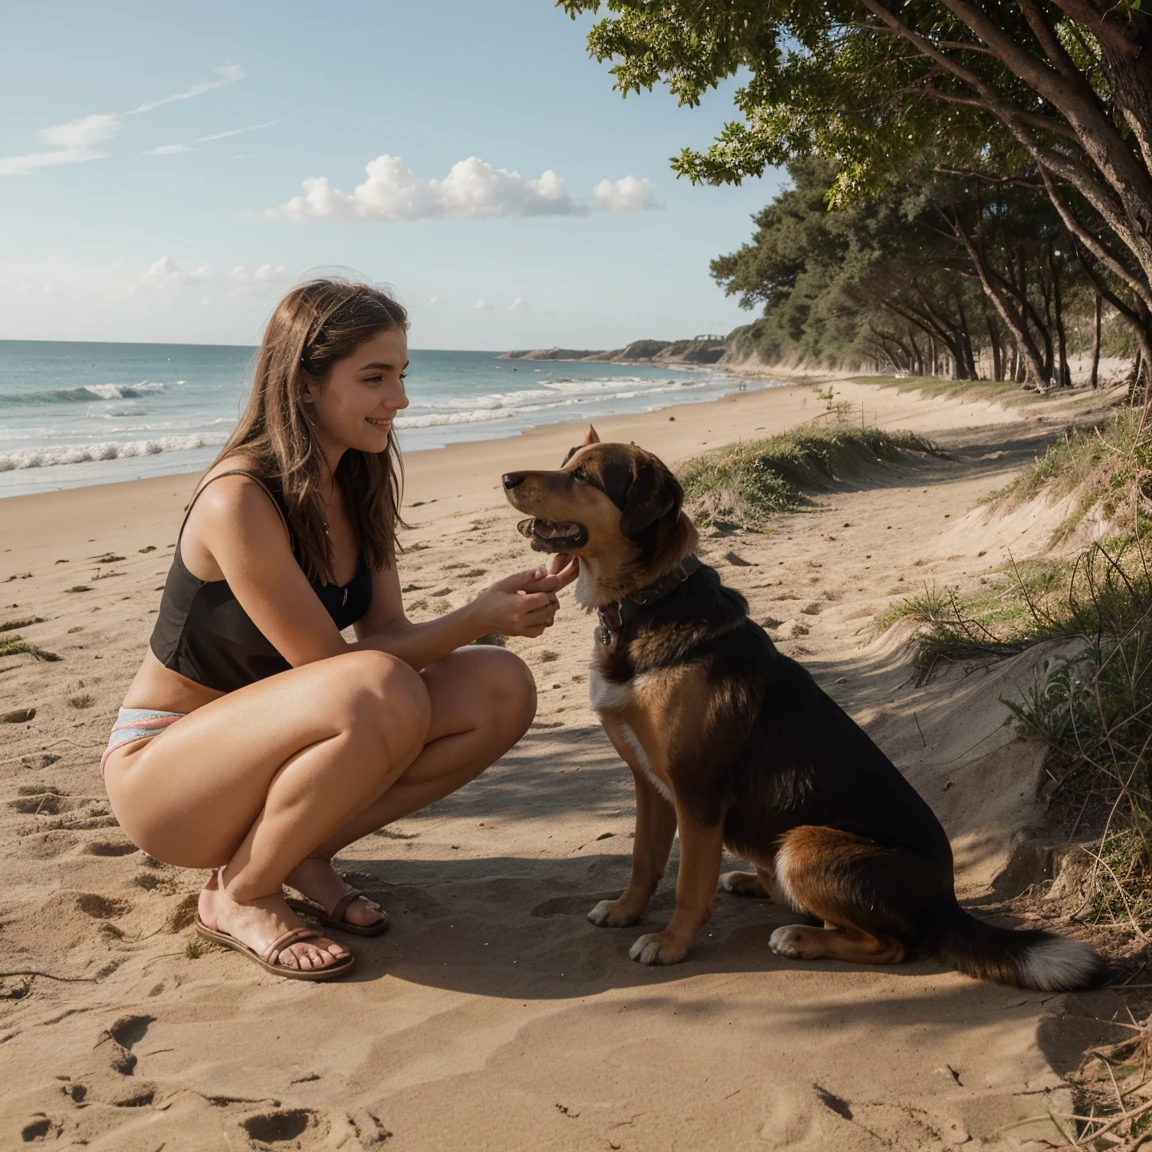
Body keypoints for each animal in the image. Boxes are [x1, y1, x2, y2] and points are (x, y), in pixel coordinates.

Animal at [502, 426, 1105, 990]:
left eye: (584, 478)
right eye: (564, 463)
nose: (507, 477)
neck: (649, 601)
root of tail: (946, 902)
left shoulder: (697, 793)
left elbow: (689, 884)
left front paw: (671, 943)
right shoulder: (650, 783)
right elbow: (644, 859)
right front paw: (627, 911)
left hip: (804, 844)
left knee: (894, 944)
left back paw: (800, 936)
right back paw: (753, 882)